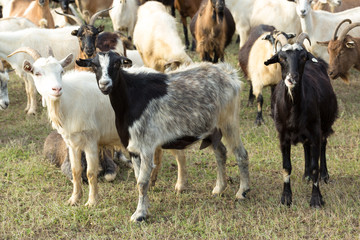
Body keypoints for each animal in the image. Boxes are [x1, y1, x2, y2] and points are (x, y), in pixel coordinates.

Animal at [76, 50, 250, 223]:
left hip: (228, 122)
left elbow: (142, 182)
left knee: (241, 154)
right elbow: (139, 179)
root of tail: (229, 74)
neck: (130, 99)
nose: (105, 84)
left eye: (117, 63)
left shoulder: (146, 146)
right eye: (94, 65)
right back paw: (219, 188)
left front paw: (139, 214)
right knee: (221, 153)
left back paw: (242, 192)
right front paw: (145, 207)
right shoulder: (133, 149)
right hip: (213, 130)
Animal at [264, 32, 338, 207]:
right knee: (306, 147)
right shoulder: (283, 136)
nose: (292, 78)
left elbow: (315, 165)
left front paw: (316, 199)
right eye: (281, 57)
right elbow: (286, 166)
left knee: (323, 145)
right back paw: (306, 175)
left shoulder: (315, 132)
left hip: (324, 124)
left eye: (303, 57)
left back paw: (324, 175)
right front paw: (286, 197)